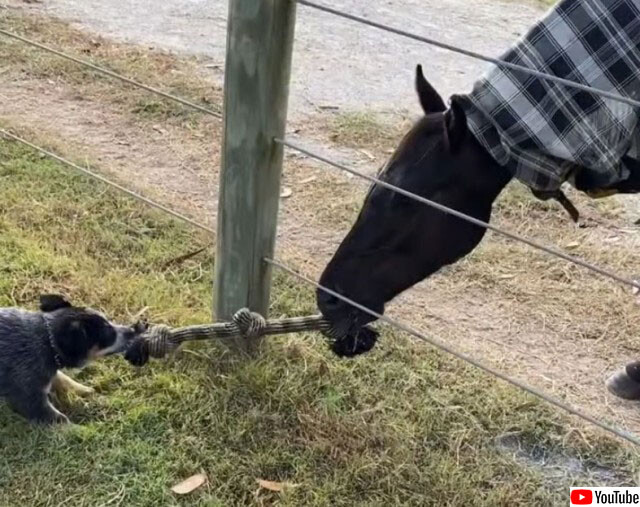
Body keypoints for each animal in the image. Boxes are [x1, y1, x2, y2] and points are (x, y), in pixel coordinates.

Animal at [0, 294, 144, 424]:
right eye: (108, 333)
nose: (133, 330)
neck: (47, 342)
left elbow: (62, 378)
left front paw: (86, 390)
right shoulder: (29, 395)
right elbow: (60, 420)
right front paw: (82, 430)